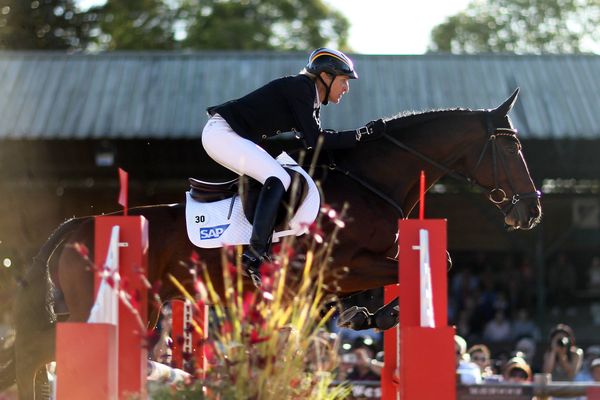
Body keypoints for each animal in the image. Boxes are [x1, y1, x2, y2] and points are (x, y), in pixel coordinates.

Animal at [2, 87, 540, 396]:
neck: (369, 181)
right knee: (37, 352)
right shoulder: (340, 263)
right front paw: (377, 314)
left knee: (36, 351)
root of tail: (76, 224)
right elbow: (436, 262)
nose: (531, 210)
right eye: (513, 147)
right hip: (105, 306)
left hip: (134, 307)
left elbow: (418, 267)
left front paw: (363, 313)